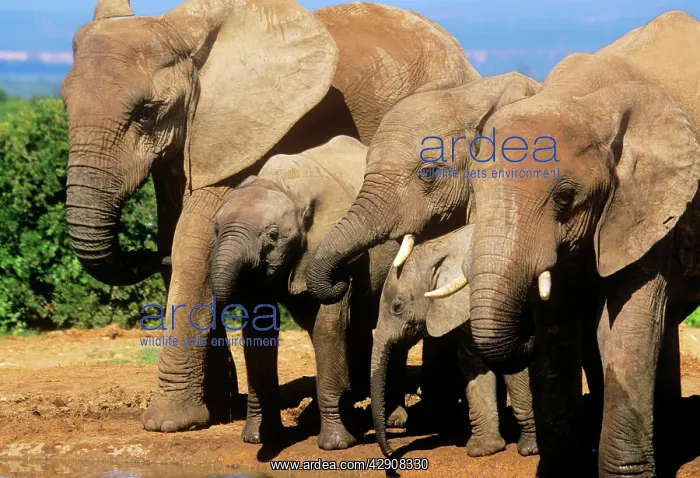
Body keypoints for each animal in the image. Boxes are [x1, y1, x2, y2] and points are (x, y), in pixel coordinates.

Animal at [209, 135, 404, 449]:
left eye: (273, 235)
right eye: (215, 230)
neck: (283, 185)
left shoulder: (332, 248)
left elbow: (328, 324)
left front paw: (336, 445)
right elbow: (259, 330)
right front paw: (258, 438)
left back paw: (393, 420)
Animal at [372, 225, 538, 459]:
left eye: (397, 306)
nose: (391, 453)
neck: (445, 245)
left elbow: (513, 365)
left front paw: (531, 448)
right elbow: (473, 365)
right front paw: (484, 450)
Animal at [430, 10, 700, 478]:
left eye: (564, 197)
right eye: (474, 193)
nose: (523, 331)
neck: (580, 97)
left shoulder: (647, 206)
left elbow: (627, 325)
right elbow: (558, 327)